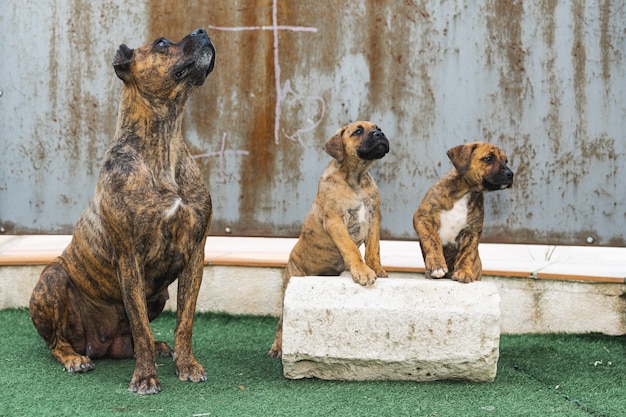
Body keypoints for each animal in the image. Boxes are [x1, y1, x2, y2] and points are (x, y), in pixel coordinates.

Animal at [28, 29, 214, 394]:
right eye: (161, 44)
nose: (202, 31)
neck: (164, 141)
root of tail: (97, 345)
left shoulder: (194, 255)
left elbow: (184, 320)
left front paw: (186, 364)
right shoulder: (130, 260)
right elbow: (140, 326)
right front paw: (145, 377)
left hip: (159, 295)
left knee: (134, 337)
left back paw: (158, 347)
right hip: (52, 280)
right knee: (57, 342)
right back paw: (74, 358)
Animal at [266, 120, 388, 358]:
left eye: (377, 127)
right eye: (358, 131)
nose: (380, 134)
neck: (357, 177)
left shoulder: (373, 217)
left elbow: (373, 248)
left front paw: (377, 269)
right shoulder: (335, 221)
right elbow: (351, 249)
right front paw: (363, 272)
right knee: (281, 323)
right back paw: (278, 348)